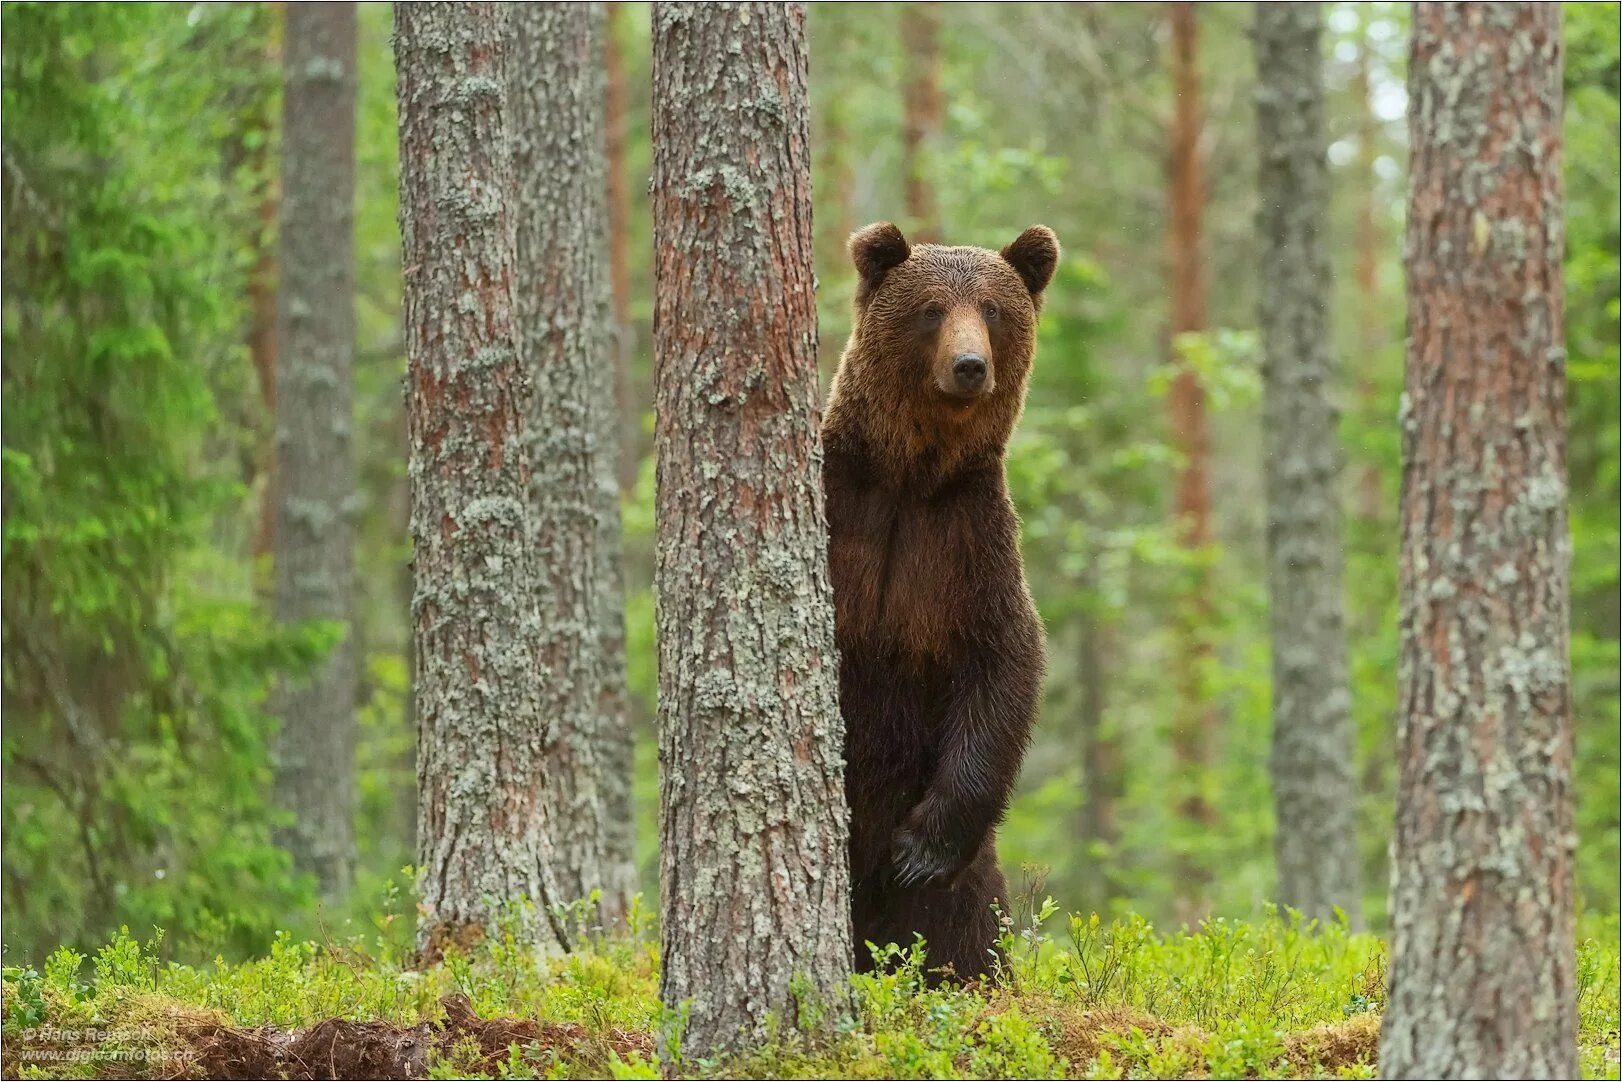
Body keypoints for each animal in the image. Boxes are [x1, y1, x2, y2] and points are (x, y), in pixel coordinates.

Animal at [823, 220, 1051, 979]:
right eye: (931, 310)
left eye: (995, 310)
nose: (970, 366)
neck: (910, 475)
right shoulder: (846, 505)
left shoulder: (964, 541)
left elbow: (1003, 660)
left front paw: (920, 851)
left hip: (971, 881)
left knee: (966, 931)